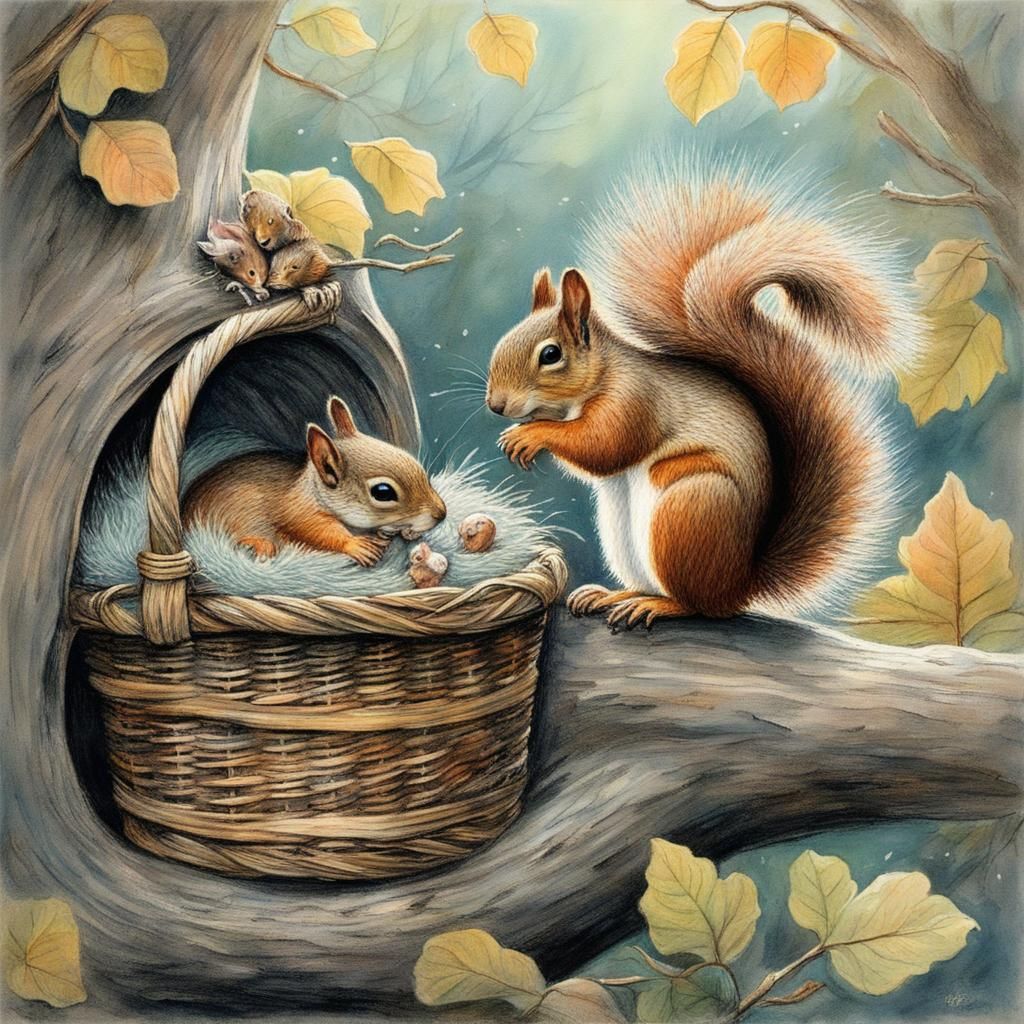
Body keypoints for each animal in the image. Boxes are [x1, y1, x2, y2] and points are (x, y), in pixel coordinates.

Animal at [183, 396, 447, 564]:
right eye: (383, 492)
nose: (441, 513)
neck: (311, 490)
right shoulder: (297, 510)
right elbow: (314, 529)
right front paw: (356, 545)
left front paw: (406, 533)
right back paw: (259, 544)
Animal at [485, 165, 920, 629]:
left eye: (551, 355)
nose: (496, 405)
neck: (601, 376)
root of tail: (740, 584)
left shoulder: (637, 400)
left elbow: (606, 445)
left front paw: (531, 435)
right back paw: (611, 595)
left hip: (690, 508)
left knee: (696, 605)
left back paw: (657, 605)